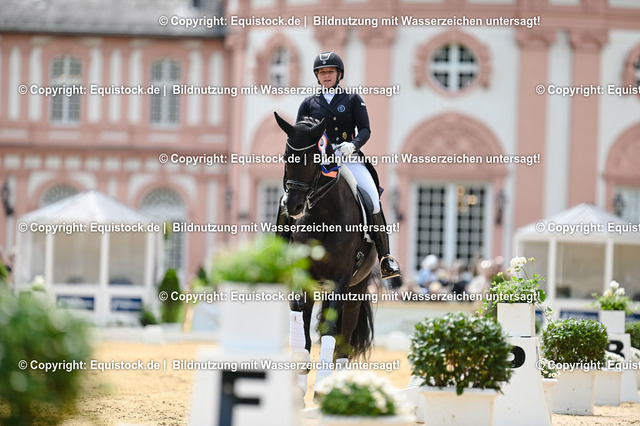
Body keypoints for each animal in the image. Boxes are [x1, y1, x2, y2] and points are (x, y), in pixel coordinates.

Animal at [274, 112, 377, 395]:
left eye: (313, 158)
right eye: (286, 156)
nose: (293, 206)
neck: (322, 215)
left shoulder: (340, 279)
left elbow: (331, 329)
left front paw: (320, 386)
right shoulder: (302, 276)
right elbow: (301, 322)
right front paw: (299, 380)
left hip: (356, 289)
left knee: (345, 337)